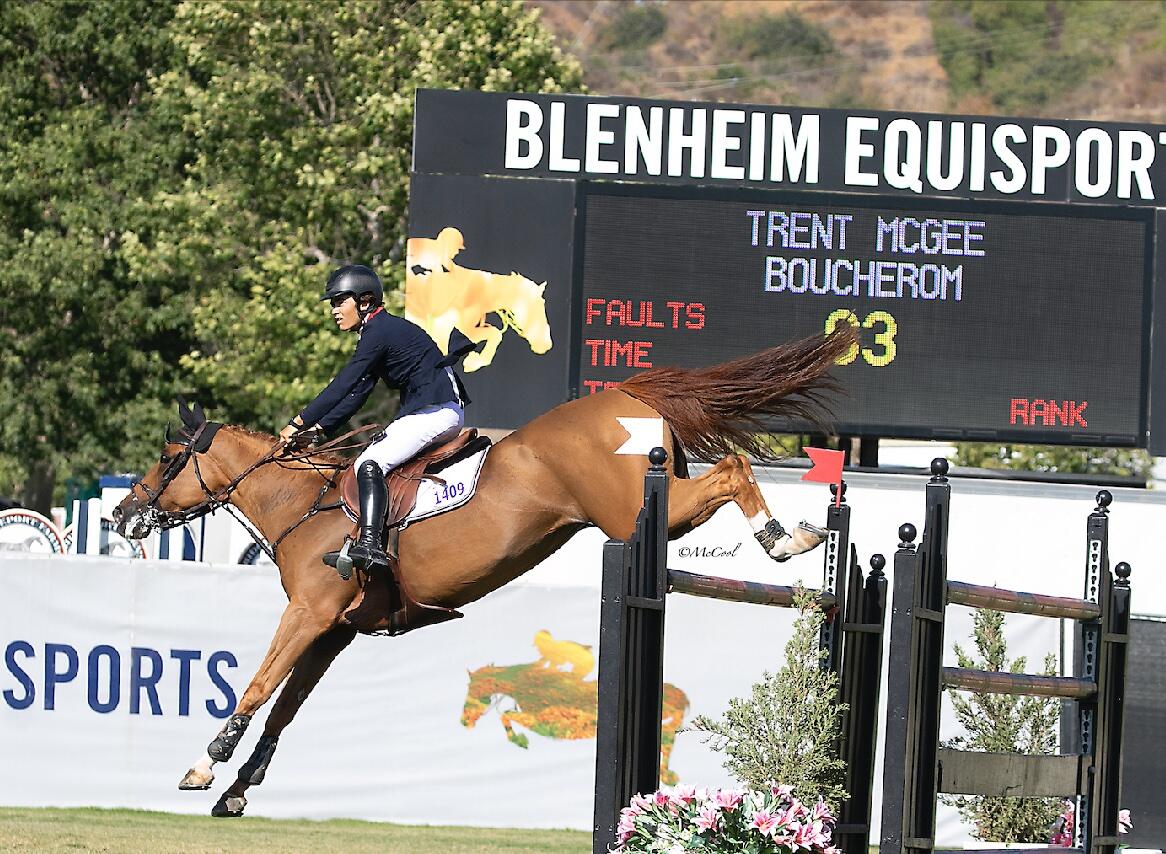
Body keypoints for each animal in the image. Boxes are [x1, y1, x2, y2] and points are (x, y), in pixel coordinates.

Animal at [113, 324, 853, 812]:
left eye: (166, 456)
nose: (123, 514)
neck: (300, 503)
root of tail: (628, 392)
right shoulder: (334, 631)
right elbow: (285, 709)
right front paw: (239, 791)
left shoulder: (308, 614)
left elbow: (257, 686)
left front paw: (202, 769)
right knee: (730, 469)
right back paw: (795, 535)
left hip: (634, 513)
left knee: (732, 468)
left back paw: (784, 540)